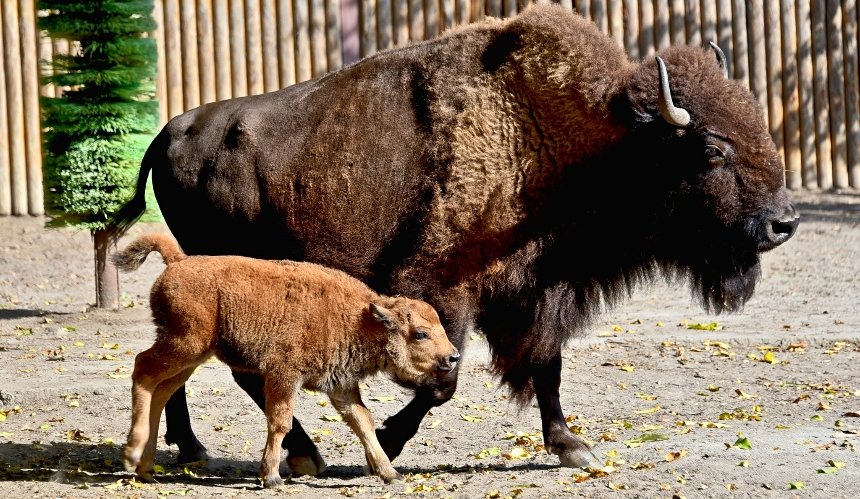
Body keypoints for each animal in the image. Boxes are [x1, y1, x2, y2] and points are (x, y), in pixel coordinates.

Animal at [117, 235, 460, 488]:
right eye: (420, 334)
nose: (453, 356)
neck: (360, 319)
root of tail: (179, 261)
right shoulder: (284, 376)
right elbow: (280, 422)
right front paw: (270, 477)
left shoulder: (342, 388)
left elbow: (363, 422)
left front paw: (390, 473)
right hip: (183, 345)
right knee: (142, 370)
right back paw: (132, 453)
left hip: (191, 357)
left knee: (162, 390)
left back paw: (145, 468)